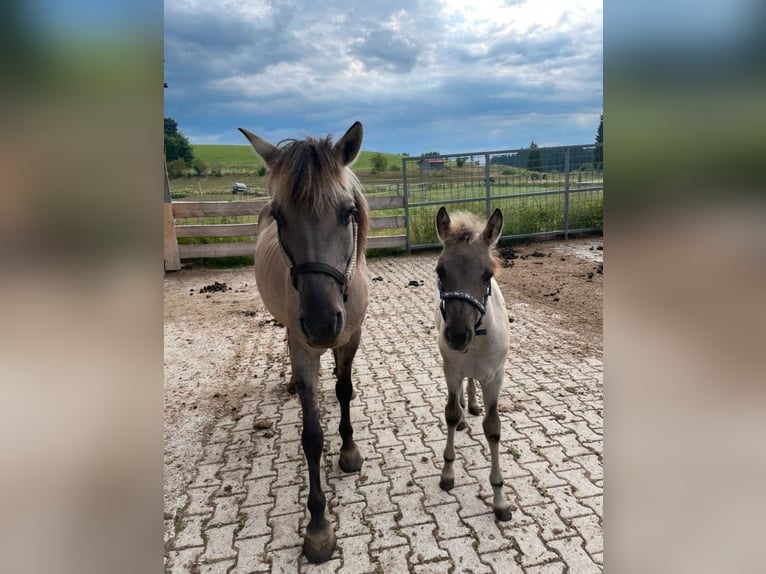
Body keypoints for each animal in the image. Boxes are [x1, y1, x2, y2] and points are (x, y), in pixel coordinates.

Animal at [239, 122, 369, 563]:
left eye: (347, 212)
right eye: (281, 217)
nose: (321, 322)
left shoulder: (351, 338)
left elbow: (344, 390)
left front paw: (348, 451)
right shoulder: (304, 350)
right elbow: (311, 436)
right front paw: (318, 527)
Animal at [434, 206, 513, 522]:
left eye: (488, 273)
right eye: (440, 270)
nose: (457, 335)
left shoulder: (496, 378)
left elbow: (493, 428)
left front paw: (500, 500)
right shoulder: (451, 370)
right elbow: (451, 414)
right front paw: (447, 474)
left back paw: (474, 403)